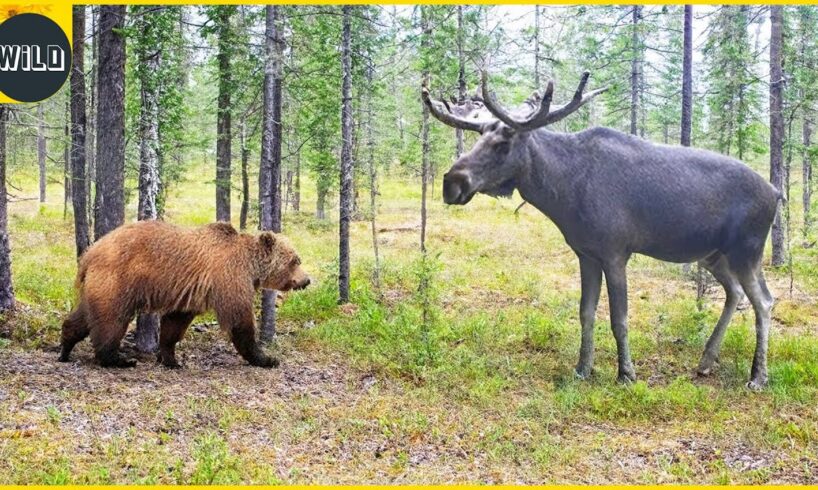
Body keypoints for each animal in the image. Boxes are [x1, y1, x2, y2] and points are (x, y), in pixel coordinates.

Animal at [58, 221, 310, 368]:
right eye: (295, 260)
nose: (307, 280)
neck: (251, 266)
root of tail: (90, 252)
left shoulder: (190, 293)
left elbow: (175, 323)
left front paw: (171, 358)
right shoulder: (230, 278)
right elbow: (240, 320)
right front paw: (267, 358)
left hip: (99, 285)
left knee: (86, 316)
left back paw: (65, 347)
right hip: (119, 281)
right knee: (111, 319)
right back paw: (119, 359)